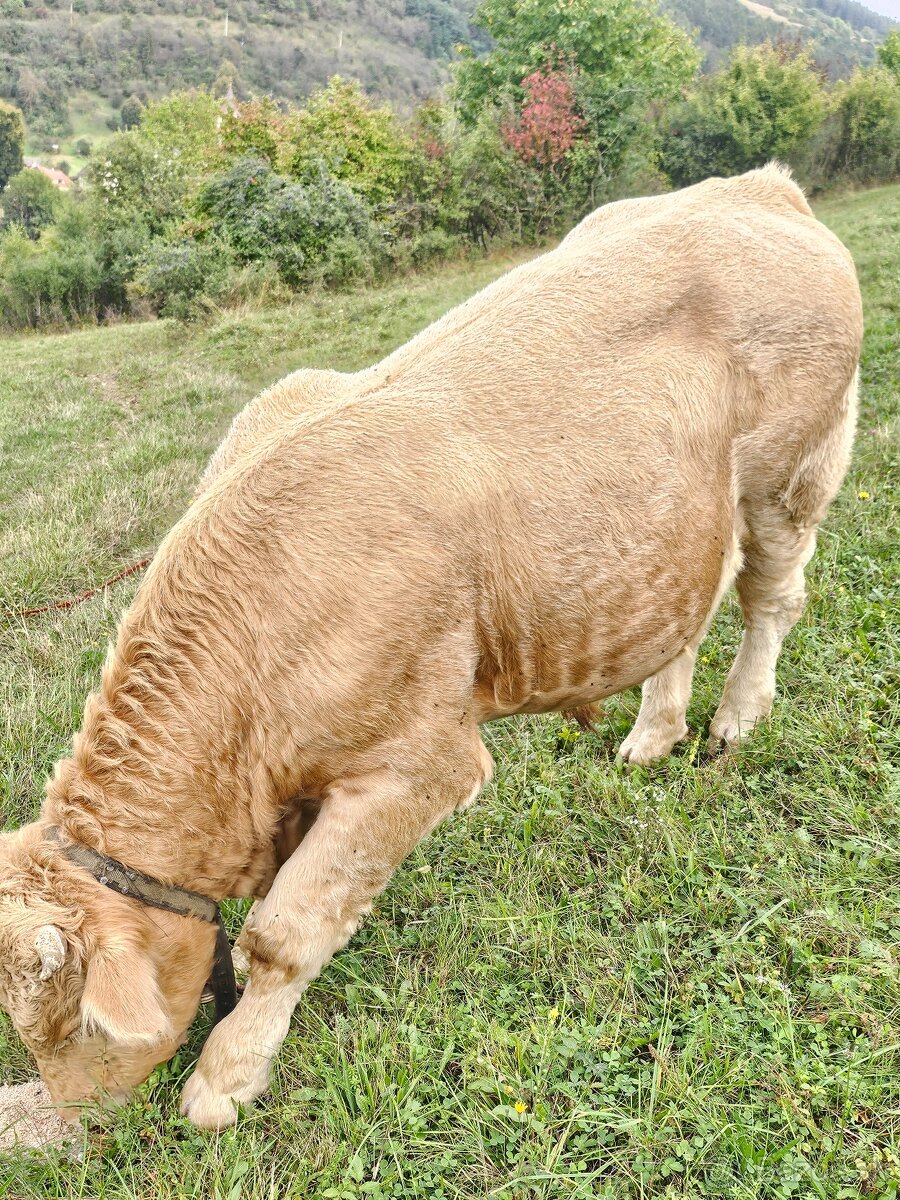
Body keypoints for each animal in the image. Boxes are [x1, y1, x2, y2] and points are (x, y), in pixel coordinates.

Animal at [0, 164, 864, 1128]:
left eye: (73, 1025)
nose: (81, 1121)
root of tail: (757, 186)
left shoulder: (418, 765)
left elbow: (283, 933)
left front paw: (224, 1079)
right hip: (669, 522)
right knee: (692, 605)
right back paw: (654, 732)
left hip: (792, 472)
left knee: (770, 598)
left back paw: (734, 722)